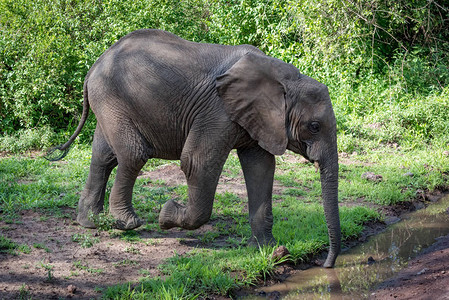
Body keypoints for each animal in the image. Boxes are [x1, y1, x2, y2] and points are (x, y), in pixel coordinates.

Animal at [47, 28, 340, 268]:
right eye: (314, 126)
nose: (326, 265)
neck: (285, 77)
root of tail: (94, 65)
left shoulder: (256, 119)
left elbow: (262, 168)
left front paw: (268, 251)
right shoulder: (217, 112)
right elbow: (197, 163)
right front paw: (166, 214)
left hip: (109, 102)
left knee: (103, 157)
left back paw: (89, 222)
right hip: (113, 99)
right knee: (132, 154)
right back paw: (126, 223)